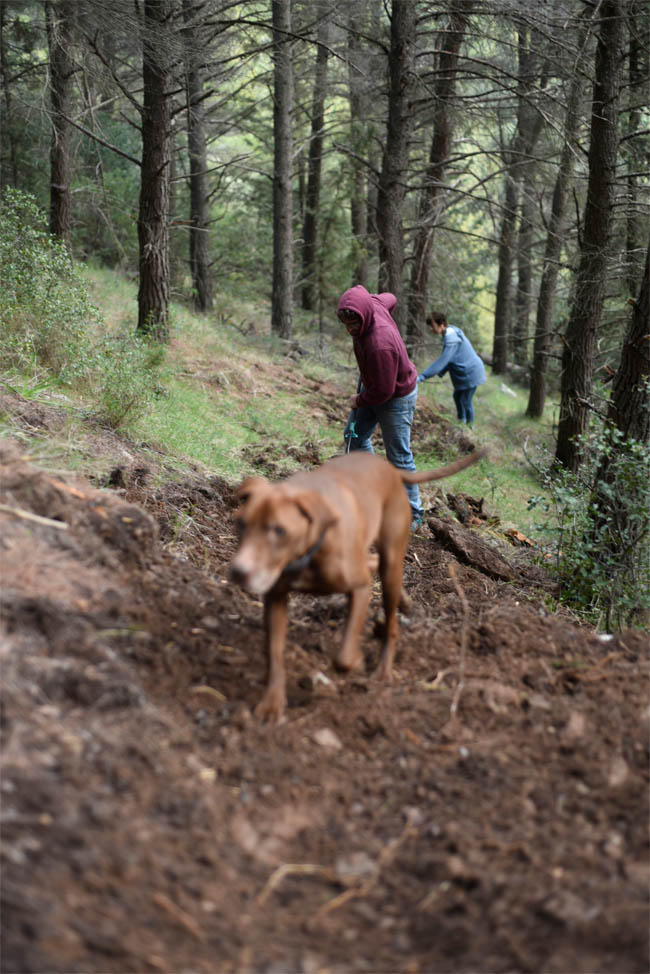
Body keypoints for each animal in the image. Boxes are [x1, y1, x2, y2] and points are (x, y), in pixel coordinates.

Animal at [230, 450, 484, 724]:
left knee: (391, 621)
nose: (238, 572)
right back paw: (403, 604)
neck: (310, 551)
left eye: (279, 530)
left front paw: (359, 662)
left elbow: (343, 658)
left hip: (391, 561)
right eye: (241, 523)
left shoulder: (361, 589)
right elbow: (275, 654)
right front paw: (272, 703)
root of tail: (389, 468)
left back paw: (383, 667)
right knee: (373, 562)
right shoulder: (276, 597)